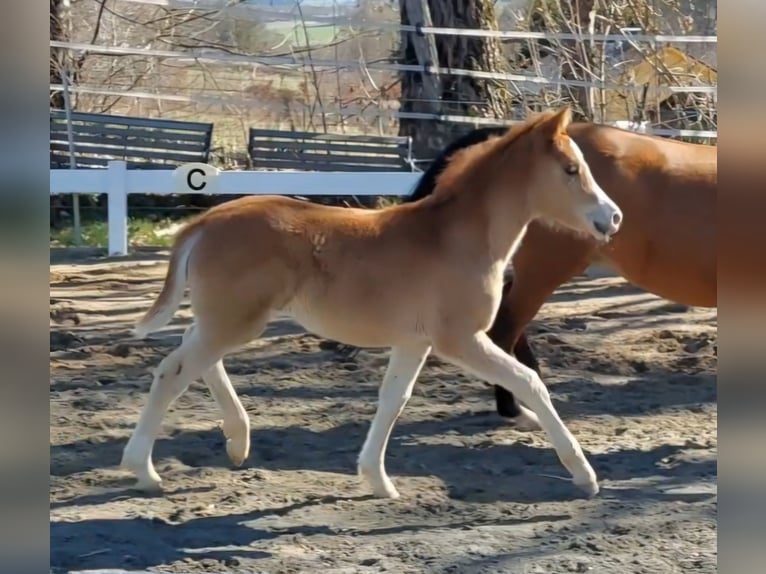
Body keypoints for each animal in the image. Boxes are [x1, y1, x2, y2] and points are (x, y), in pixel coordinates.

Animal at [121, 107, 623, 500]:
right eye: (570, 169)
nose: (613, 217)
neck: (457, 239)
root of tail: (205, 221)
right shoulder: (459, 339)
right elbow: (529, 382)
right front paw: (585, 475)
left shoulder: (414, 342)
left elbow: (393, 400)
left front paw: (378, 481)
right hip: (236, 320)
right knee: (172, 370)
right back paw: (143, 470)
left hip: (231, 319)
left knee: (197, 354)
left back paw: (237, 442)